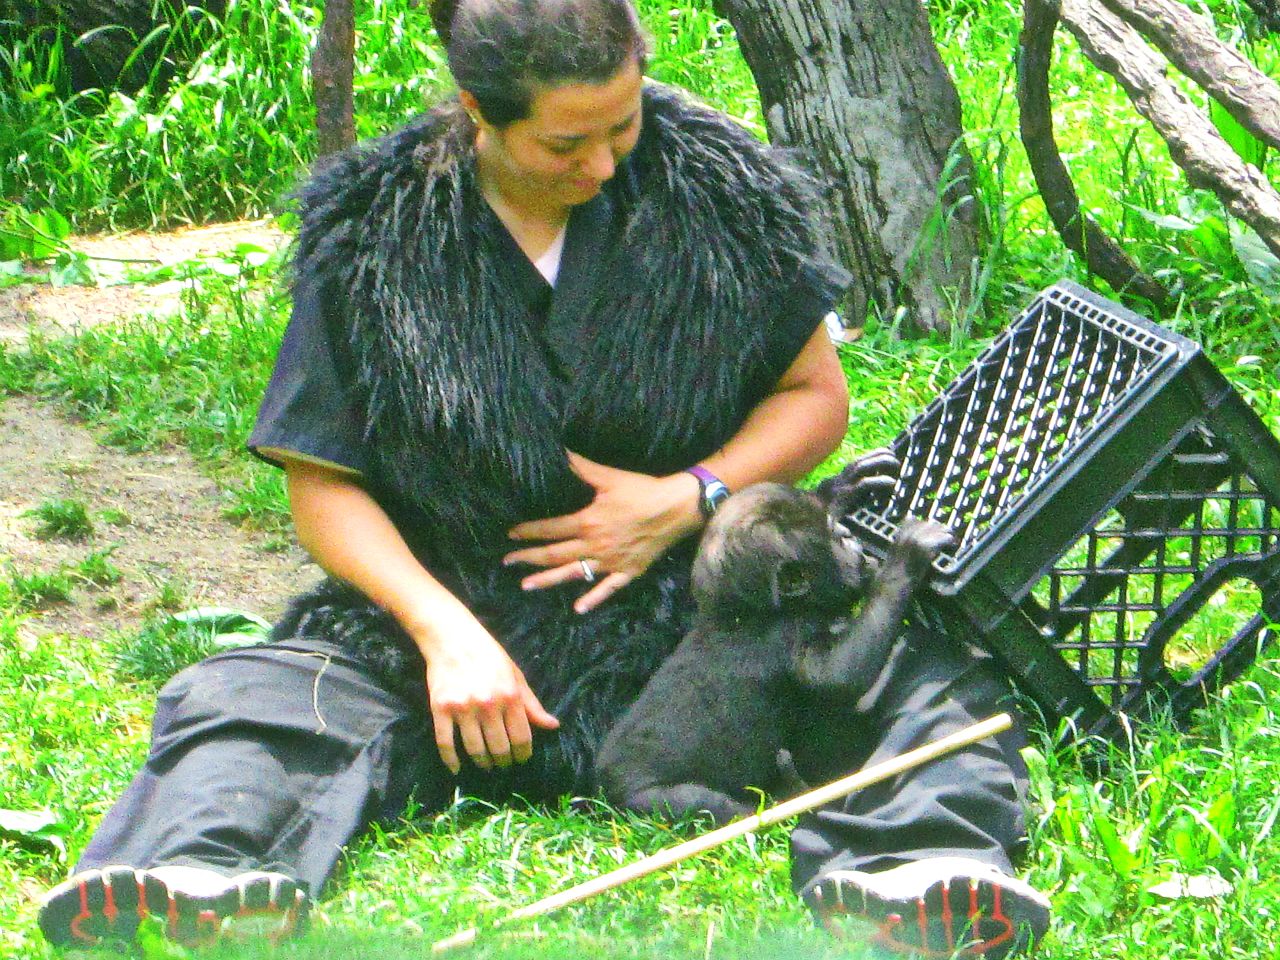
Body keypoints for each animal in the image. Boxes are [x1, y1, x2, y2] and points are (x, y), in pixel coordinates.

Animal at [594, 479, 954, 826]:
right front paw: (907, 558)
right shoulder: (786, 635)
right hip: (644, 796)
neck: (746, 613)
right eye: (832, 536)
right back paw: (787, 801)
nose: (848, 535)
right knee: (702, 804)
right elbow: (839, 675)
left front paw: (844, 490)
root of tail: (602, 789)